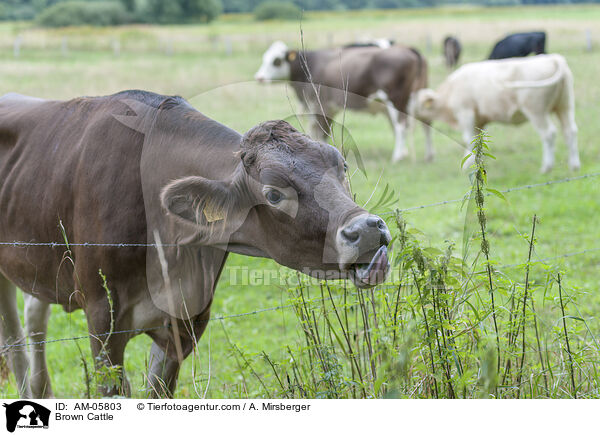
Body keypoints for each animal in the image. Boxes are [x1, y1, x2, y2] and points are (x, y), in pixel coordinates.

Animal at [0, 91, 392, 398]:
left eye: (342, 166)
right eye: (274, 194)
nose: (368, 229)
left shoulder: (186, 320)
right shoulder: (102, 318)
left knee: (35, 317)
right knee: (14, 340)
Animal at [253, 41, 432, 164]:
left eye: (276, 61)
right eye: (264, 58)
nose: (259, 77)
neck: (311, 65)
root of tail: (408, 48)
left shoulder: (323, 106)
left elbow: (322, 133)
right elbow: (314, 131)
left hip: (396, 100)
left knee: (401, 126)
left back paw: (398, 156)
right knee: (425, 124)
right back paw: (428, 155)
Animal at [410, 55, 580, 175]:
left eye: (416, 103)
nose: (408, 111)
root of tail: (552, 58)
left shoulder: (466, 113)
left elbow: (467, 139)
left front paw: (467, 165)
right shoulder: (479, 120)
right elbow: (476, 141)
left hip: (536, 111)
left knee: (549, 134)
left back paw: (546, 167)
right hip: (565, 107)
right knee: (570, 131)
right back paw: (574, 165)